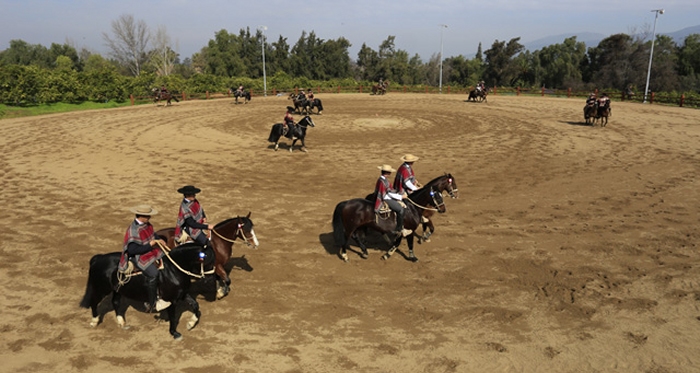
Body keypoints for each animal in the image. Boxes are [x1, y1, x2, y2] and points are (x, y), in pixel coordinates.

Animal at [80, 241, 216, 340]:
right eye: (208, 260)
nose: (211, 278)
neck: (173, 269)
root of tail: (98, 258)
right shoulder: (171, 300)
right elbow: (173, 317)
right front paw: (174, 333)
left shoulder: (182, 294)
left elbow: (195, 305)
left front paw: (190, 324)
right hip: (101, 289)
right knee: (94, 302)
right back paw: (94, 321)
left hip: (117, 290)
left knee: (115, 302)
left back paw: (122, 323)